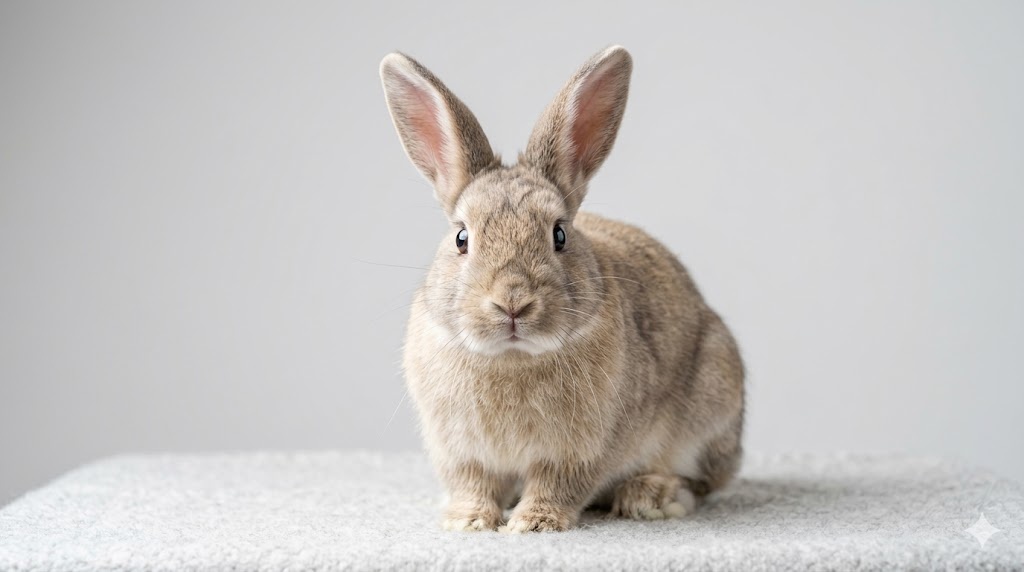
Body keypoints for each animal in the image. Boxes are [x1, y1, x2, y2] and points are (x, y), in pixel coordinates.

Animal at [379, 45, 745, 533]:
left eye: (559, 235)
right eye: (461, 238)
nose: (512, 302)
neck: (512, 358)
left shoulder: (578, 452)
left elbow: (557, 485)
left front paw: (534, 523)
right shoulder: (461, 453)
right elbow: (473, 484)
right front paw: (468, 520)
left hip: (712, 402)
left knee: (701, 482)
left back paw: (651, 496)